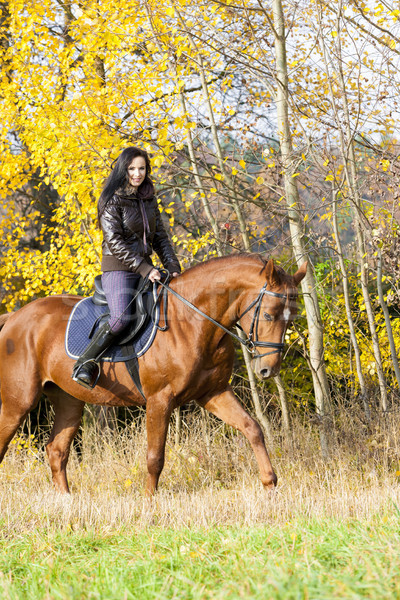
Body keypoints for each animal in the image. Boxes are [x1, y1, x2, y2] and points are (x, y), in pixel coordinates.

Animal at [0, 255, 306, 494]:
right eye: (268, 315)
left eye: (291, 318)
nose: (268, 369)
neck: (194, 321)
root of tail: (15, 317)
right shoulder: (159, 400)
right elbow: (154, 456)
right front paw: (149, 502)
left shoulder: (214, 392)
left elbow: (252, 428)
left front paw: (270, 483)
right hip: (19, 403)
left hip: (69, 401)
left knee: (56, 450)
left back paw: (67, 501)